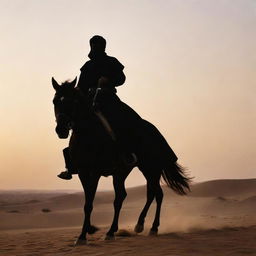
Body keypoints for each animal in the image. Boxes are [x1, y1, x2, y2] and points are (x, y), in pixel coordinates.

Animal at [51, 77, 190, 244]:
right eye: (55, 101)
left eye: (73, 101)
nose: (61, 130)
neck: (88, 135)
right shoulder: (83, 172)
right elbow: (87, 202)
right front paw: (87, 231)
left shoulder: (95, 172)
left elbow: (91, 202)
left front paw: (86, 235)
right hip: (129, 171)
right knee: (130, 195)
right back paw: (125, 228)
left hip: (151, 168)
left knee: (156, 194)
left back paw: (149, 227)